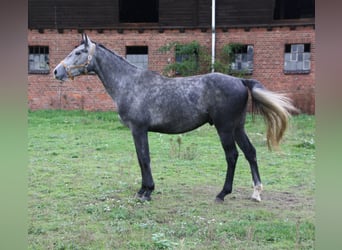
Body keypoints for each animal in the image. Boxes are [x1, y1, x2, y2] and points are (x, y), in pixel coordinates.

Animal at [53, 33, 296, 201]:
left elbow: (144, 158)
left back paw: (222, 194)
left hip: (225, 128)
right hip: (238, 127)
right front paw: (143, 190)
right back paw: (256, 192)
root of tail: (240, 81)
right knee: (250, 153)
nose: (56, 71)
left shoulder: (139, 129)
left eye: (78, 52)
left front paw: (146, 192)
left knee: (232, 156)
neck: (130, 83)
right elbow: (141, 159)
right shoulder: (137, 131)